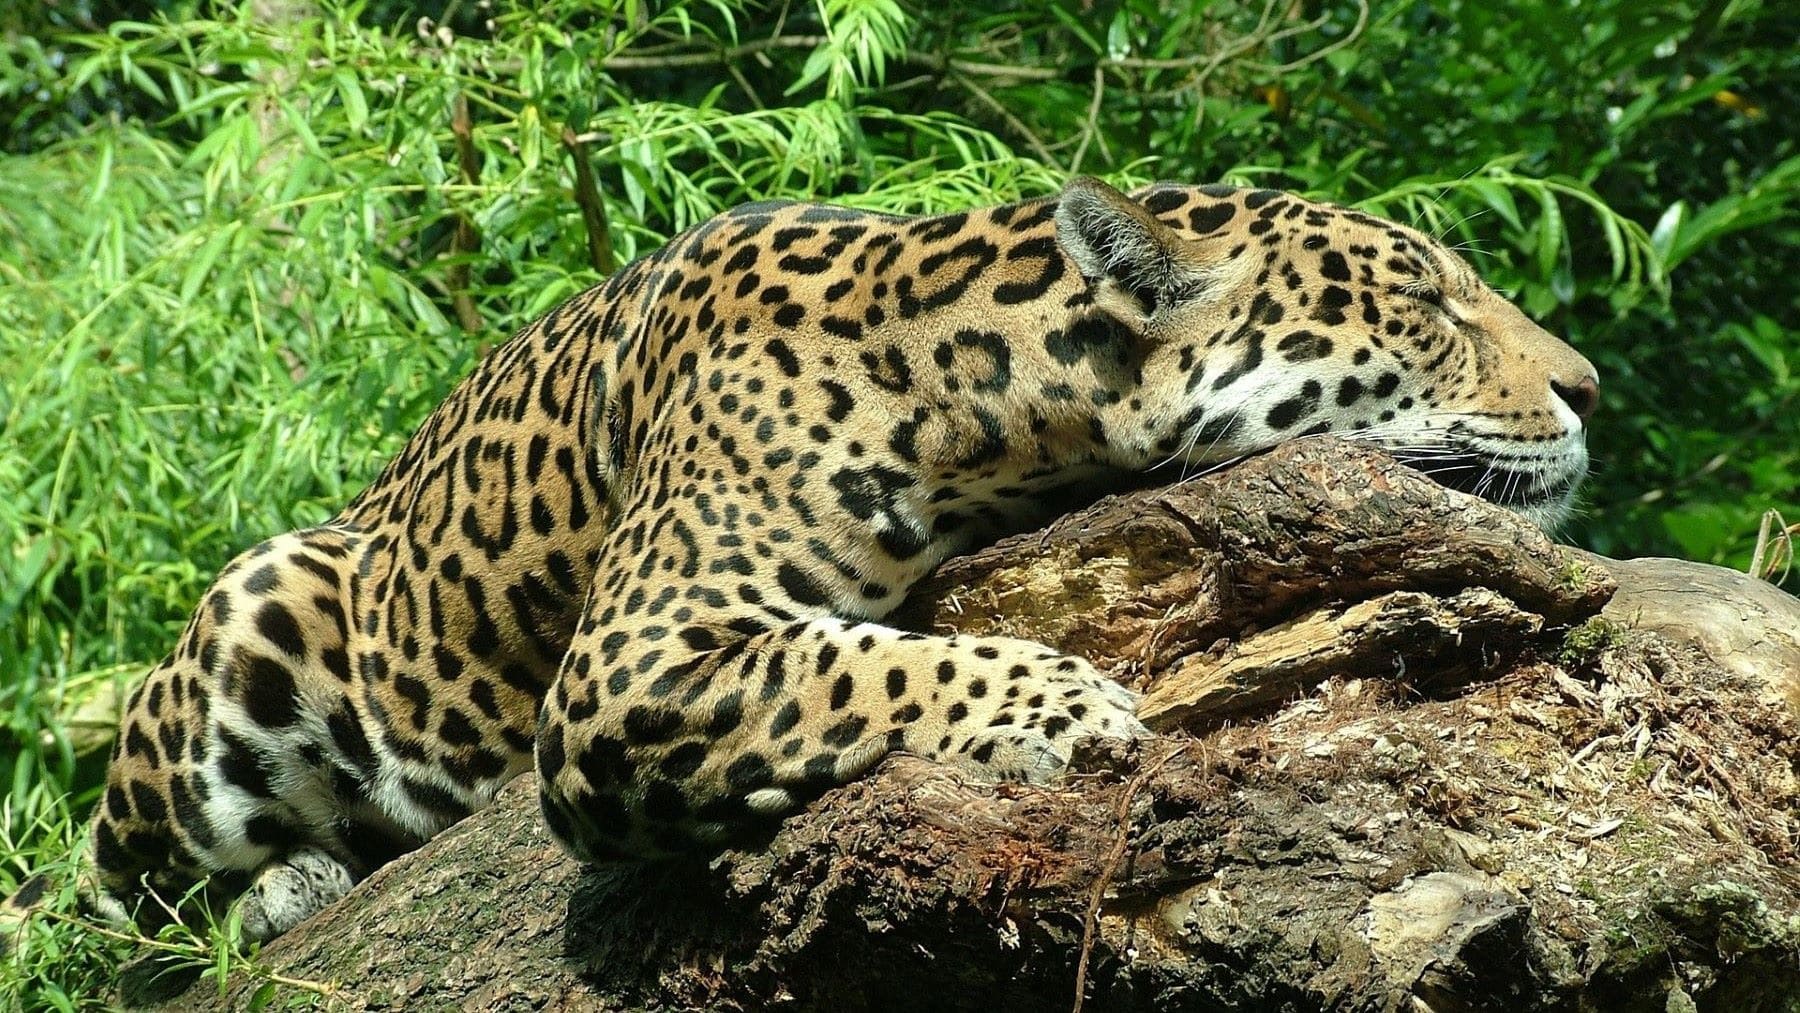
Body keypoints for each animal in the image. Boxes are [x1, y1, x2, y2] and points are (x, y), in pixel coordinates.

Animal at [14, 175, 1600, 948]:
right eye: (1423, 301)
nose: (1588, 386)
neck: (982, 387)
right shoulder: (629, 661)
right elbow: (847, 665)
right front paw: (1062, 704)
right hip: (248, 628)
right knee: (102, 910)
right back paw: (270, 887)